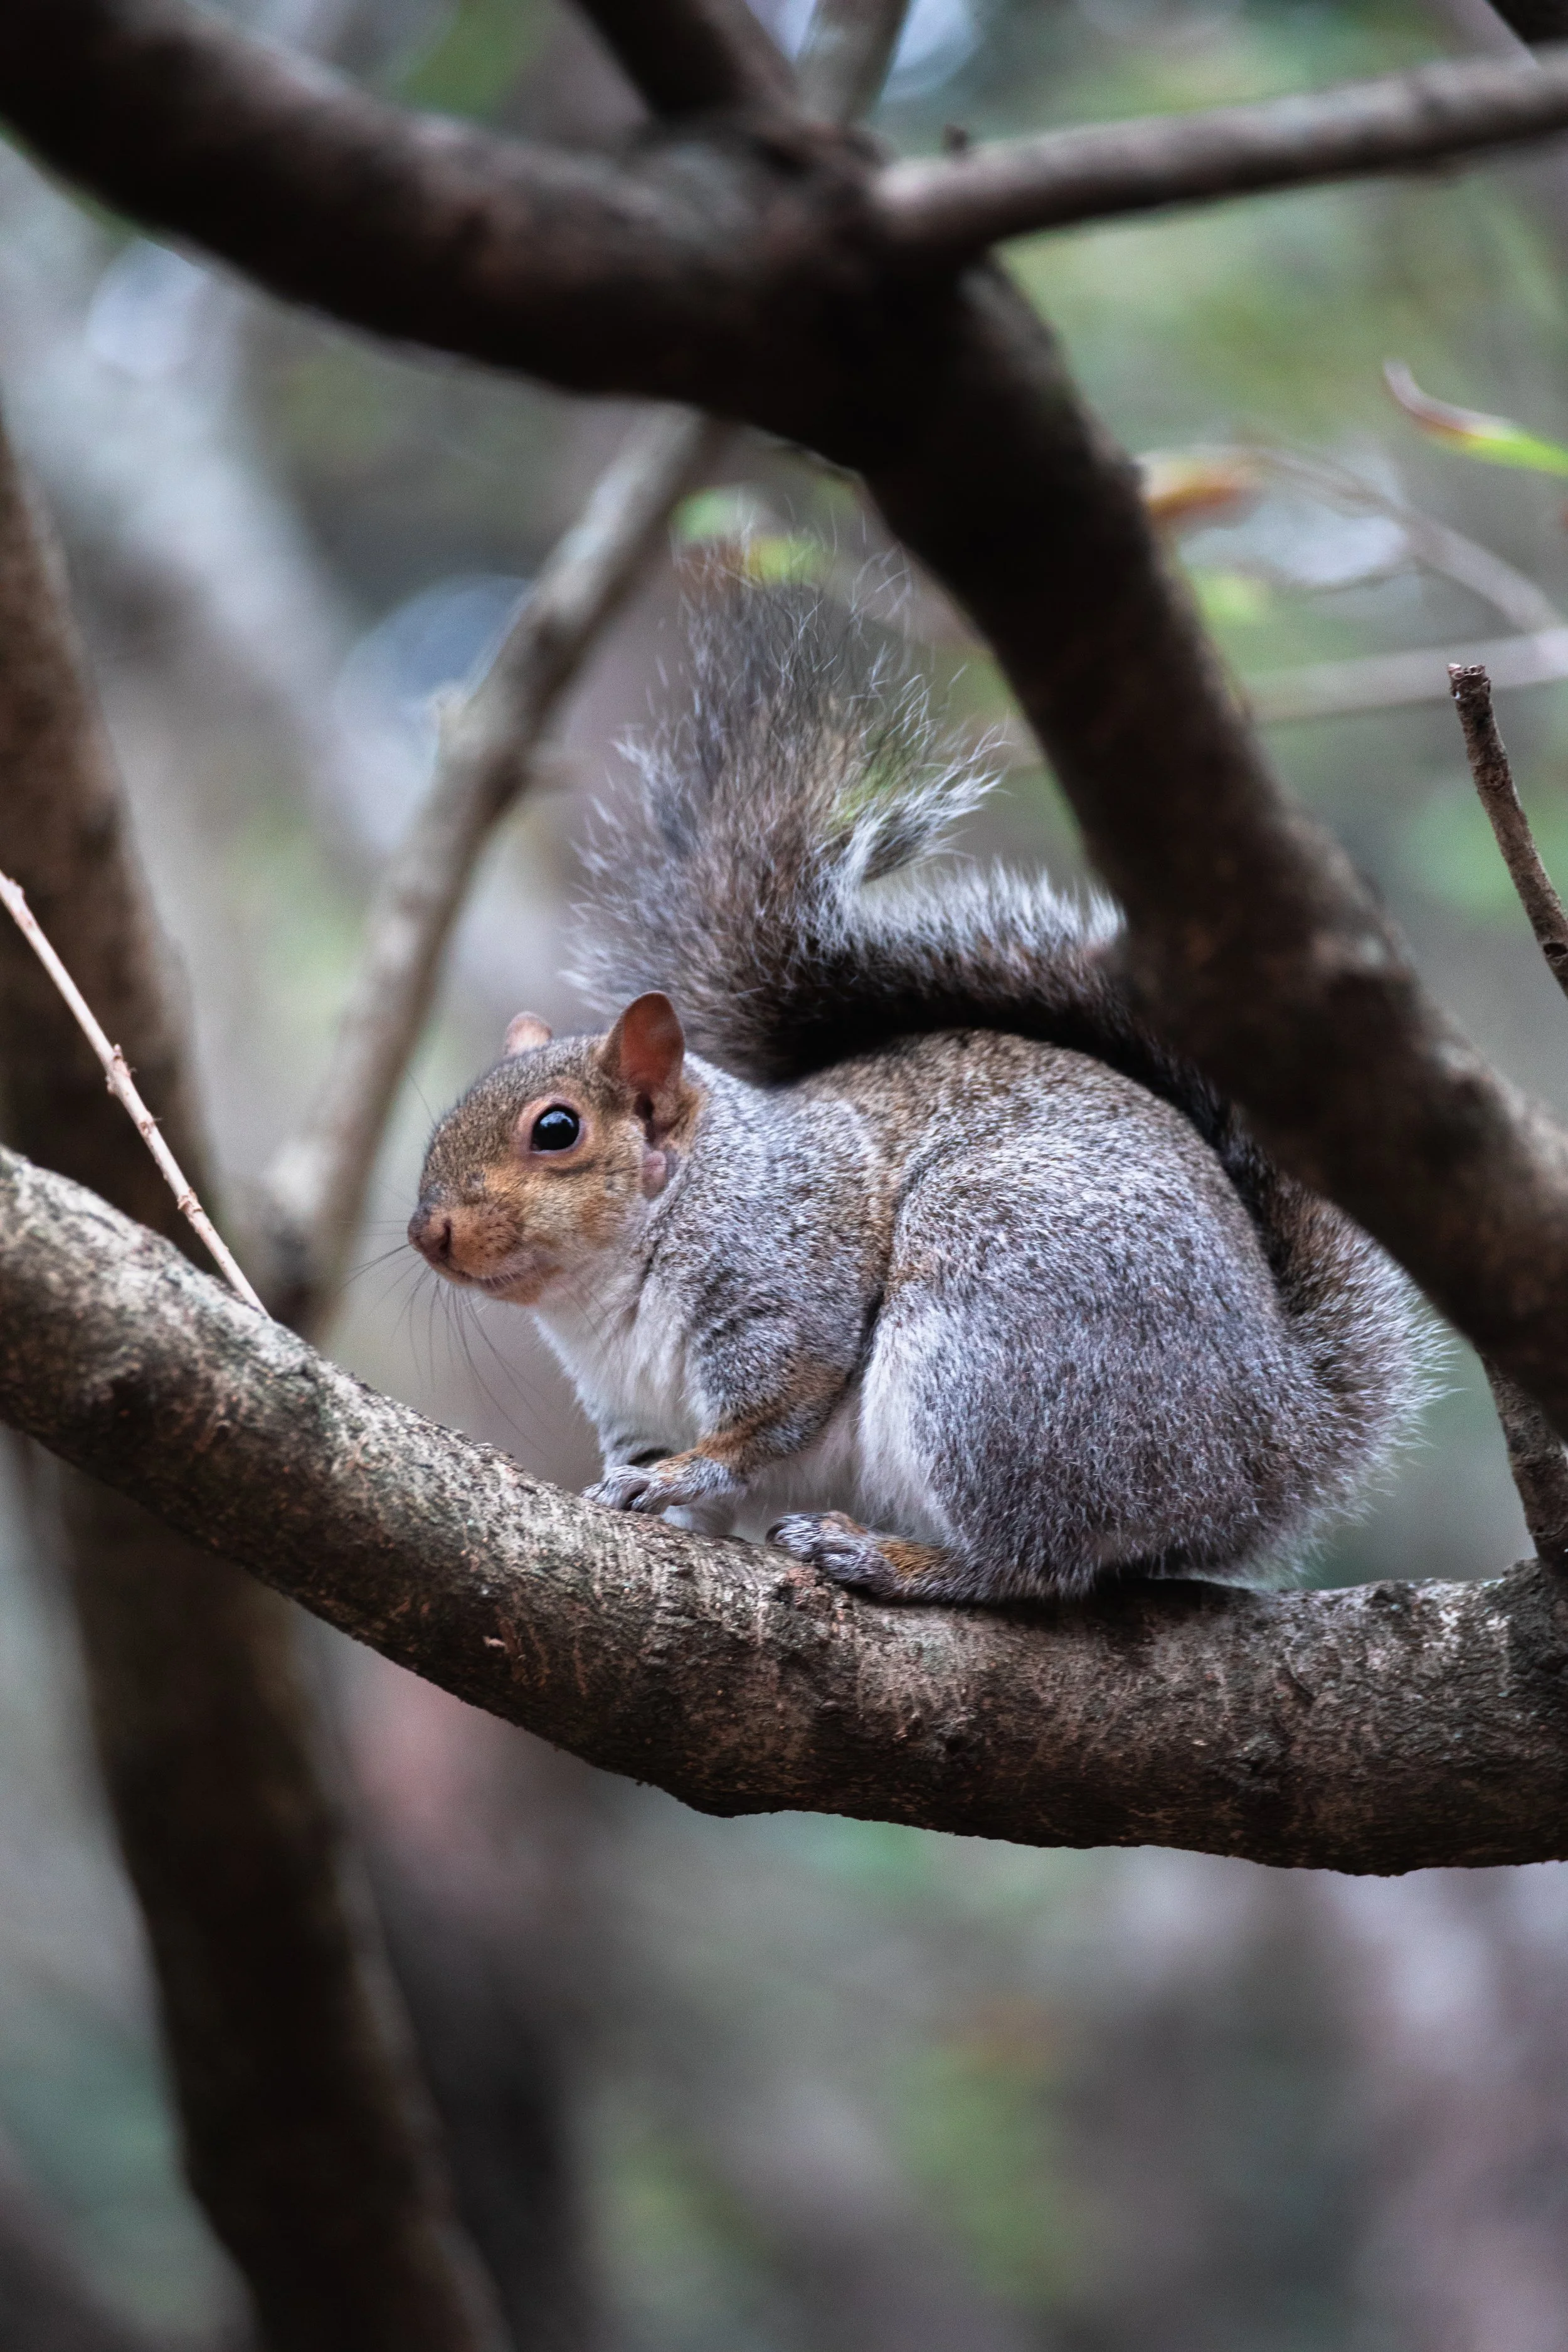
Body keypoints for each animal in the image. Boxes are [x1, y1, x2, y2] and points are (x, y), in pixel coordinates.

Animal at [408, 584, 1429, 1605]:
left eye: (556, 1130)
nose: (429, 1233)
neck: (612, 1287)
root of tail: (1276, 1439)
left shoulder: (790, 1286)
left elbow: (769, 1415)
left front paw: (686, 1471)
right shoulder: (629, 1404)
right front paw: (651, 1490)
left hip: (1000, 1346)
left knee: (1031, 1559)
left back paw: (892, 1557)